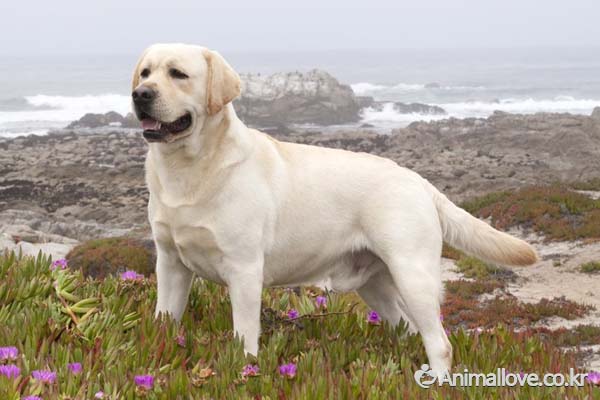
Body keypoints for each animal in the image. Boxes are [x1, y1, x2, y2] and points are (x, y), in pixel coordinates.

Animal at [131, 43, 538, 375]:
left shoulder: (244, 270)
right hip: (376, 284)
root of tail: (419, 181)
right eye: (146, 72)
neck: (189, 169)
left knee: (440, 342)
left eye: (178, 74)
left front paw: (245, 369)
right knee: (407, 328)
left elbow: (244, 336)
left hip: (414, 274)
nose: (140, 94)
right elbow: (164, 318)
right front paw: (158, 350)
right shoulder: (171, 263)